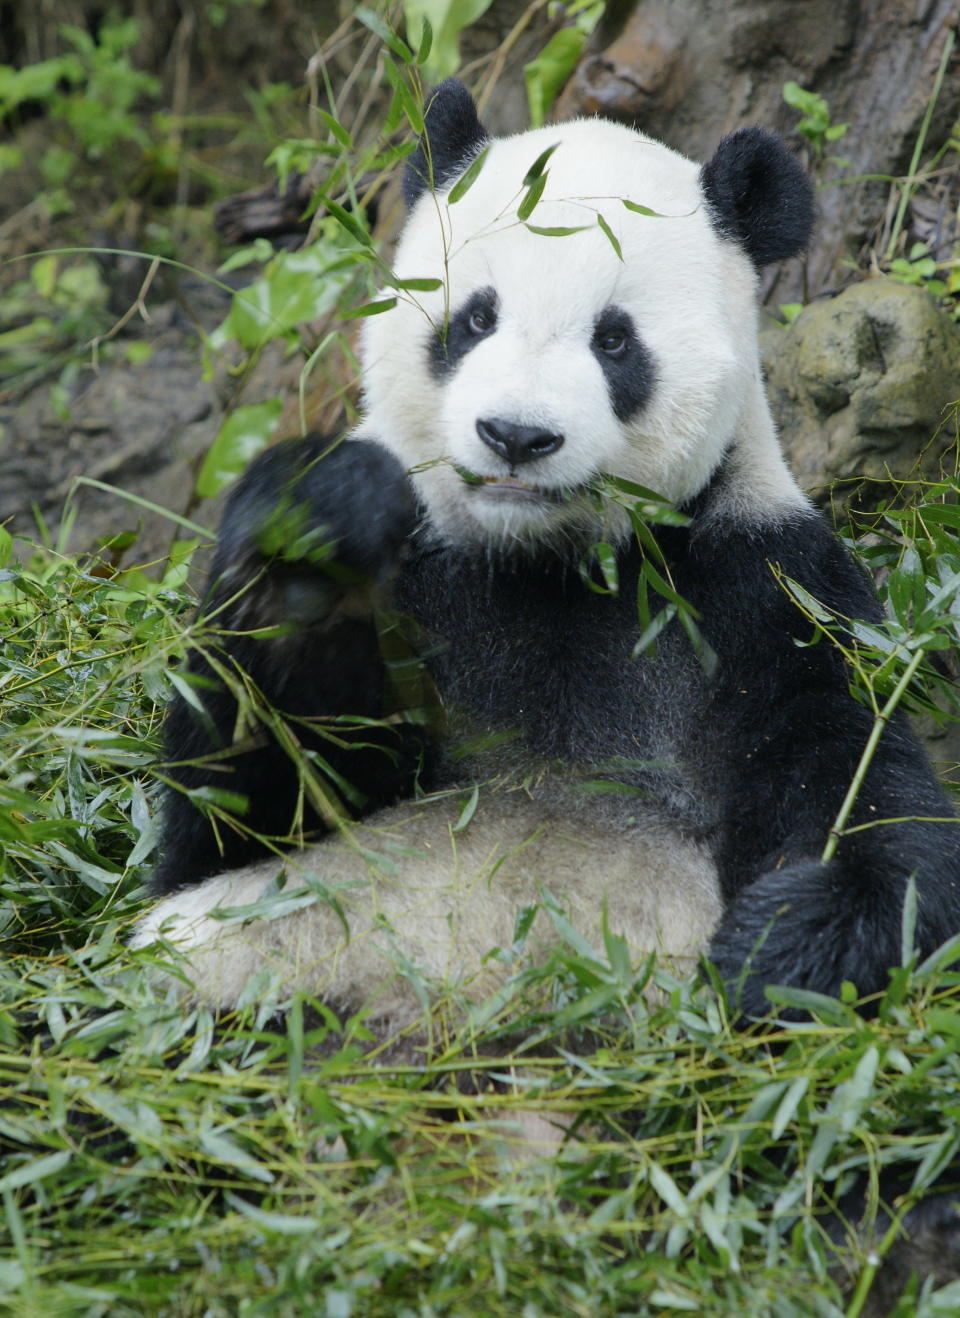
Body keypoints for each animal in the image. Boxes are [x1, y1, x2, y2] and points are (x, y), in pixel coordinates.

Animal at [133, 77, 960, 1038]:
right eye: (475, 317)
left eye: (614, 340)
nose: (516, 436)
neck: (541, 559)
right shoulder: (421, 582)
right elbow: (237, 812)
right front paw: (314, 541)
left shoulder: (761, 587)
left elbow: (858, 786)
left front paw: (783, 944)